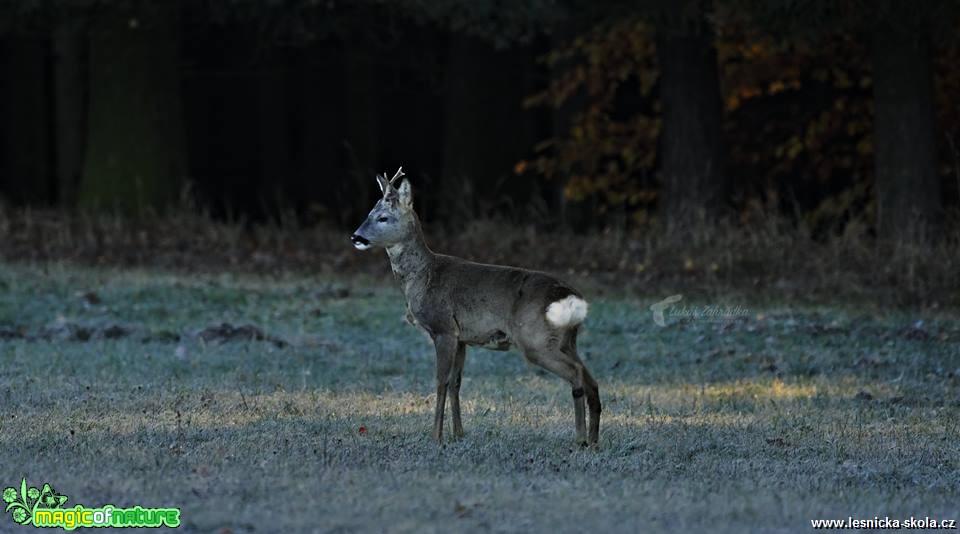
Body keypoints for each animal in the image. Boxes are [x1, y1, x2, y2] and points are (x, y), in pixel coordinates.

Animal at [344, 170, 600, 446]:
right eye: (369, 213)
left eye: (383, 217)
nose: (356, 237)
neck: (423, 276)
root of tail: (571, 296)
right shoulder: (463, 338)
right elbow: (456, 382)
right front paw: (458, 433)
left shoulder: (443, 328)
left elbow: (441, 382)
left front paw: (436, 435)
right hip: (565, 339)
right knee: (591, 379)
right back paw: (594, 439)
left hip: (535, 339)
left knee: (576, 373)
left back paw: (580, 439)